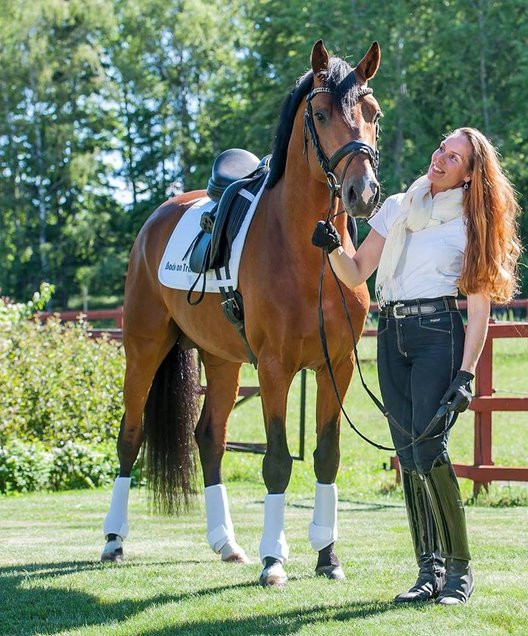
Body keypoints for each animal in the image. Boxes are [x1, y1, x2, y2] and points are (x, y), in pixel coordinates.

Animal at [101, 38, 382, 588]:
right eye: (320, 113)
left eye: (373, 114)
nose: (362, 193)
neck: (307, 255)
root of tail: (156, 219)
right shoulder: (274, 368)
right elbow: (276, 462)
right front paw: (275, 560)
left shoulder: (334, 367)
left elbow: (327, 457)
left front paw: (328, 556)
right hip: (143, 351)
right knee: (130, 437)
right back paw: (114, 541)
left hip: (224, 361)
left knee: (209, 438)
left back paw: (226, 543)